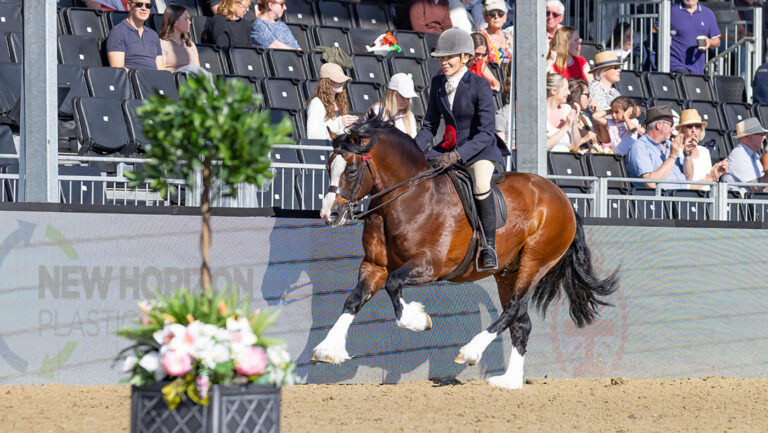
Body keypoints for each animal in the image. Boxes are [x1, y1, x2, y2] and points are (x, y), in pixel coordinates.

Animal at [312, 117, 618, 389]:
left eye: (352, 170)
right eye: (327, 166)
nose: (329, 215)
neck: (408, 198)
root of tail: (562, 197)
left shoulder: (430, 265)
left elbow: (394, 285)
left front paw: (418, 320)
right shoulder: (374, 265)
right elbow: (354, 299)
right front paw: (328, 348)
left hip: (535, 261)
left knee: (513, 309)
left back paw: (471, 351)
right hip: (507, 272)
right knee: (521, 321)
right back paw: (509, 381)